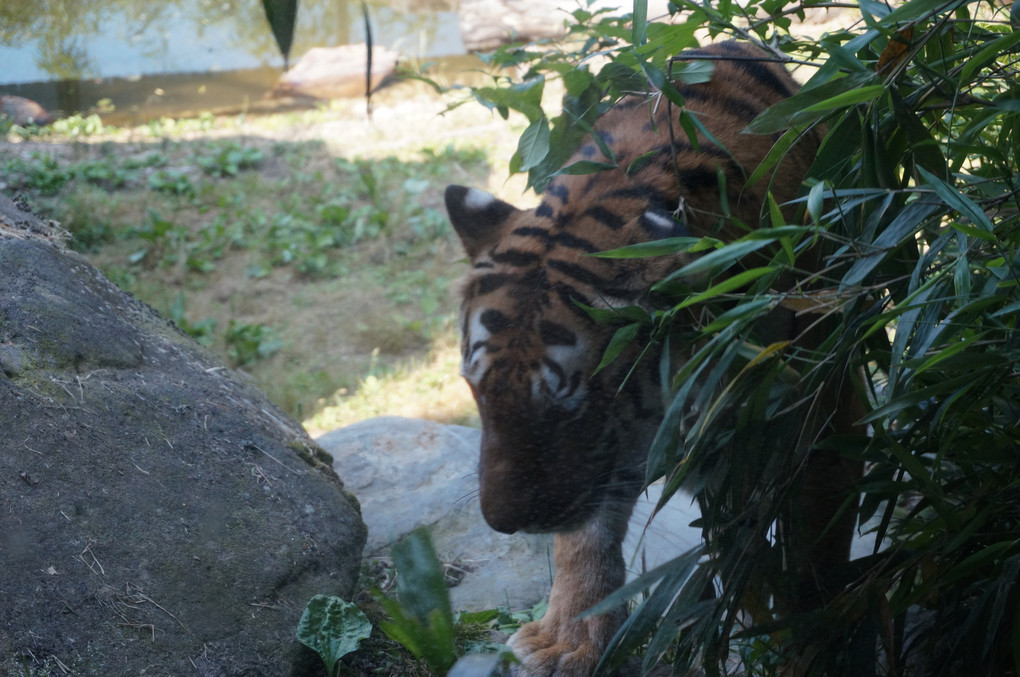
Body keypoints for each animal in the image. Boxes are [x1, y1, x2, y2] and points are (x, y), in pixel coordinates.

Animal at [444, 41, 860, 672]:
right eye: (477, 389)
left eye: (569, 403)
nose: (501, 523)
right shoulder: (607, 463)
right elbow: (586, 535)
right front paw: (567, 640)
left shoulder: (824, 413)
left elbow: (817, 554)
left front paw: (813, 642)